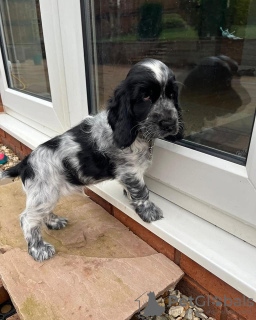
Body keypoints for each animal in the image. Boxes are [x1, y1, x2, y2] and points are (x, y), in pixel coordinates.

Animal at [0, 58, 184, 262]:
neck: (138, 133)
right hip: (44, 194)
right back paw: (38, 249)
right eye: (145, 97)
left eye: (171, 94)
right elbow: (142, 191)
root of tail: (25, 163)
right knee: (28, 219)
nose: (170, 124)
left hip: (46, 195)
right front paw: (149, 211)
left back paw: (54, 221)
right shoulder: (129, 170)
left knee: (40, 215)